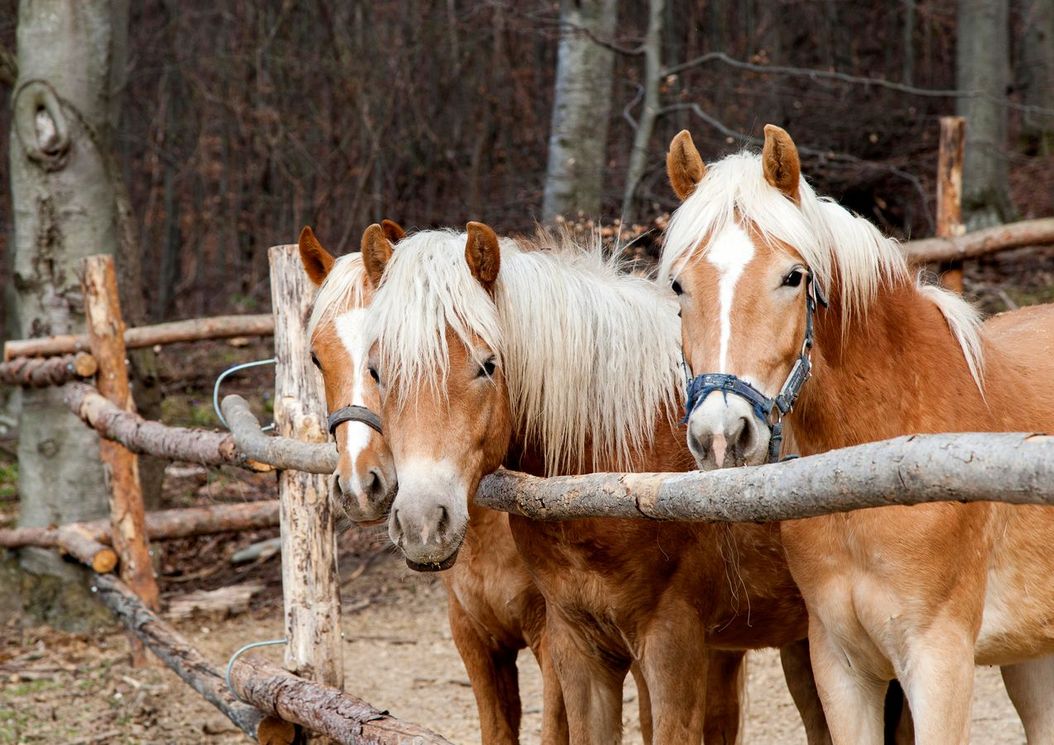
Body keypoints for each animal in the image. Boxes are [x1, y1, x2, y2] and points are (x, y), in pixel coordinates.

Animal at [362, 223, 838, 745]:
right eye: (376, 371)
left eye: (487, 365)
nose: (423, 523)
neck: (612, 475)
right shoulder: (577, 647)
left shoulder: (672, 645)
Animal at [661, 123, 1054, 745]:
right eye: (678, 285)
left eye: (793, 277)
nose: (723, 435)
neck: (869, 471)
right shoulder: (841, 669)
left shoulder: (938, 662)